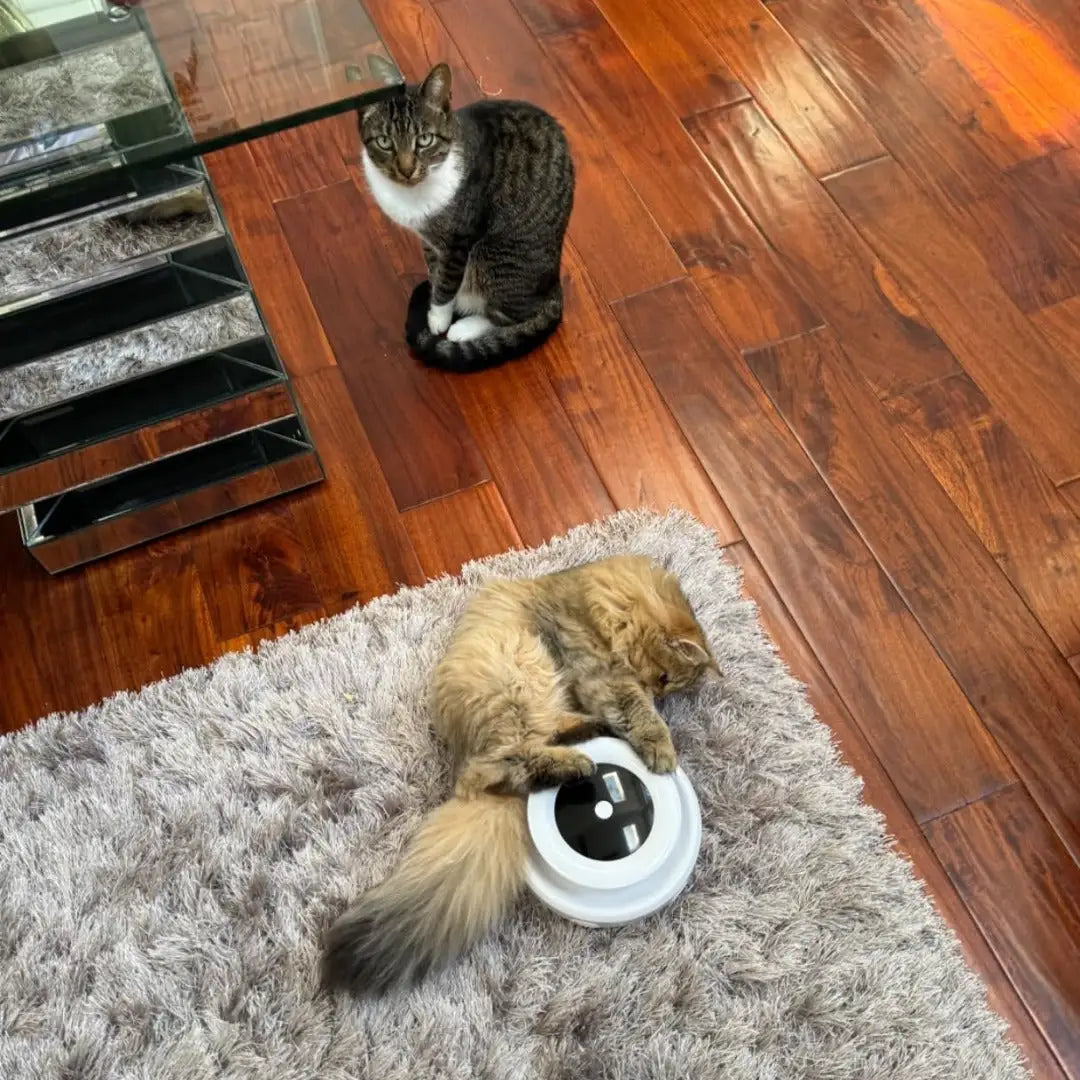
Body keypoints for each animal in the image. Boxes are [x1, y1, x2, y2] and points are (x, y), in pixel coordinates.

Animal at [319, 557, 717, 993]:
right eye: (664, 679)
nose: (659, 692)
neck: (599, 599)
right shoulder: (602, 673)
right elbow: (639, 712)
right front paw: (662, 748)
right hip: (520, 673)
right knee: (499, 767)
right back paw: (573, 763)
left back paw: (584, 737)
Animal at [358, 61, 578, 378]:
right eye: (385, 142)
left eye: (424, 140)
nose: (407, 169)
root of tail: (555, 288)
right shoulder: (430, 242)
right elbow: (435, 272)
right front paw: (435, 306)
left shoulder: (459, 240)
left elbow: (447, 283)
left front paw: (438, 318)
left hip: (496, 256)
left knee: (512, 316)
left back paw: (465, 327)